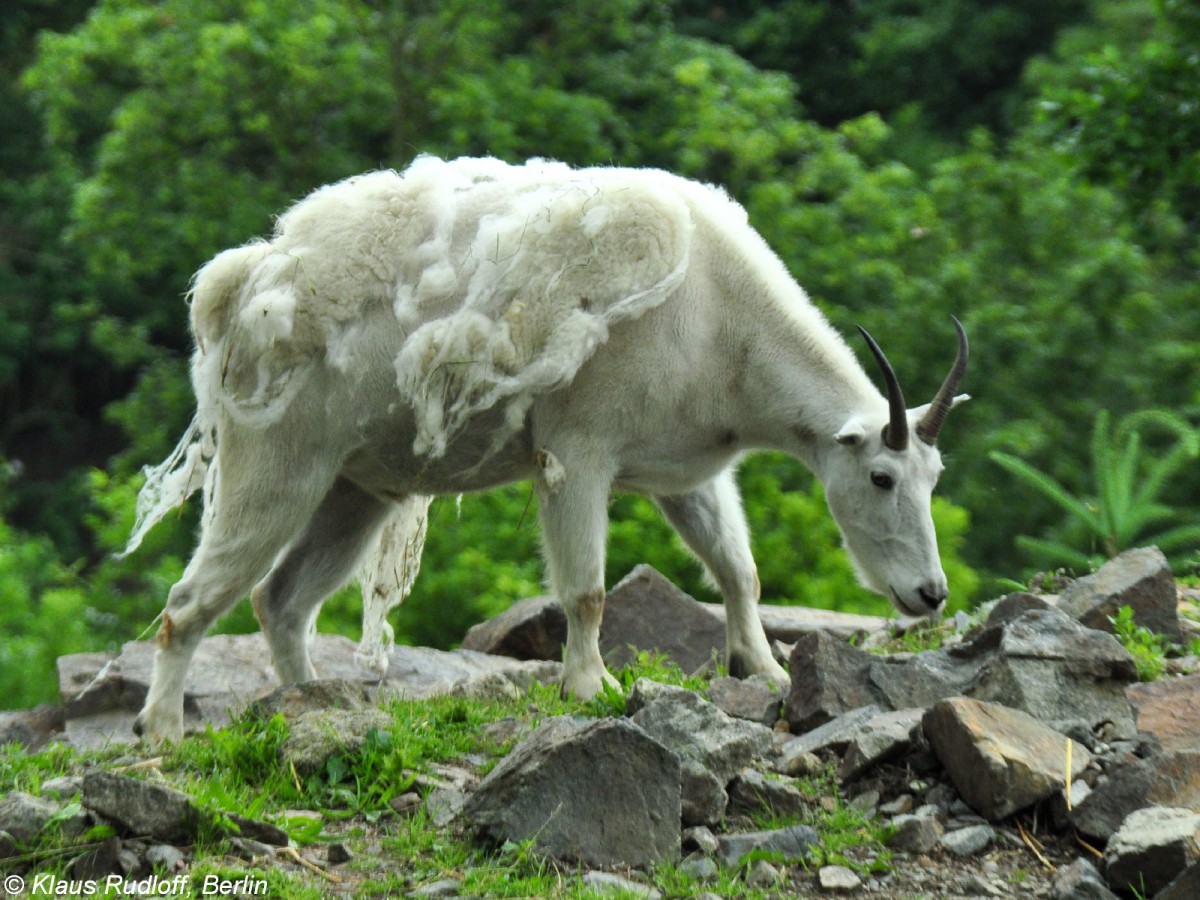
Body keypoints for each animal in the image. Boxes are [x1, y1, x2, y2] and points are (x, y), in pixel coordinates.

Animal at [124, 158, 964, 744]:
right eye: (881, 476)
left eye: (933, 477)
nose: (930, 595)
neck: (722, 324)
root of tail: (241, 289)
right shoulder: (578, 452)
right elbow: (587, 590)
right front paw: (591, 688)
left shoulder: (684, 474)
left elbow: (738, 569)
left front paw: (765, 667)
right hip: (278, 462)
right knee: (188, 603)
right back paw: (162, 729)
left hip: (353, 489)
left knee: (285, 600)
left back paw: (312, 704)